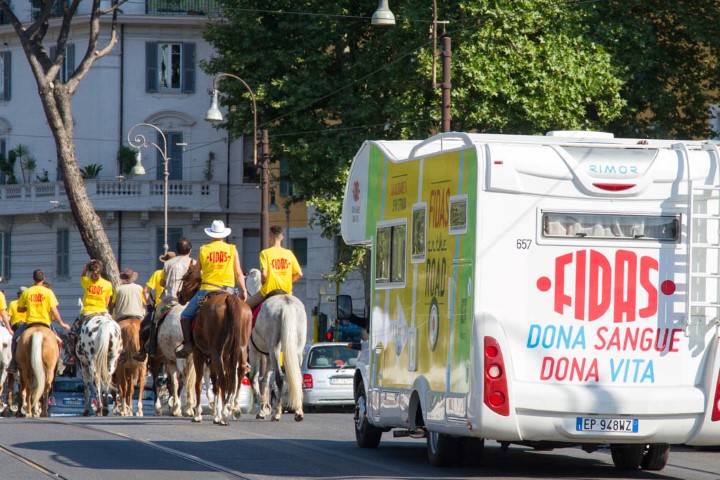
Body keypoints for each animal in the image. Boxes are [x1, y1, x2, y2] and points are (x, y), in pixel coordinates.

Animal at [190, 292, 252, 424]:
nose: (180, 296)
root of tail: (229, 298)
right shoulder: (222, 357)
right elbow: (215, 383)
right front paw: (216, 412)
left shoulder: (198, 354)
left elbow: (199, 384)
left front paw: (198, 414)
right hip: (241, 348)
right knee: (238, 374)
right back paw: (234, 407)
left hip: (216, 352)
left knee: (222, 380)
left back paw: (224, 415)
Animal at [246, 268, 308, 422]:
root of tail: (286, 305)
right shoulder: (268, 356)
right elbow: (265, 380)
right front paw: (264, 407)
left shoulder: (254, 351)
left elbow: (254, 377)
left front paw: (262, 409)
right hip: (296, 348)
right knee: (295, 377)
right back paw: (298, 411)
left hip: (274, 347)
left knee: (279, 378)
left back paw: (277, 413)